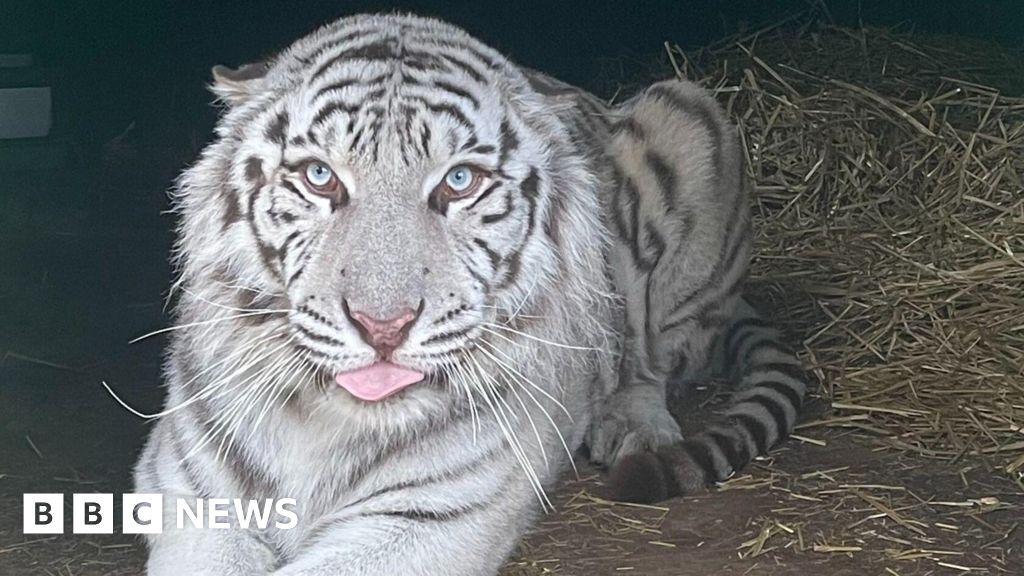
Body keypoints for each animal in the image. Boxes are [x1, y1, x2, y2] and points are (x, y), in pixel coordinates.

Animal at [132, 12, 809, 575]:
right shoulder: (191, 498)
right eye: (319, 176)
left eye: (459, 181)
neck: (325, 421)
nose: (383, 326)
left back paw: (635, 426)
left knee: (649, 358)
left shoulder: (430, 517)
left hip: (689, 112)